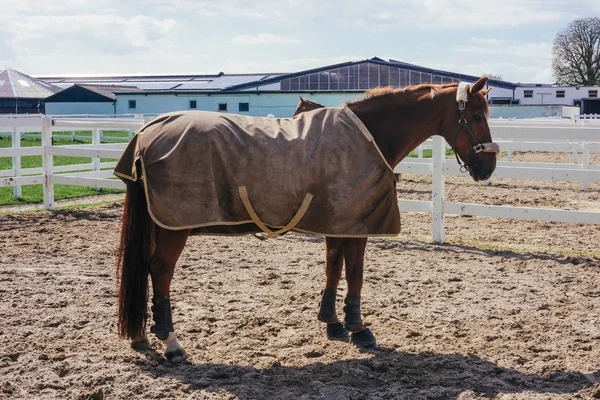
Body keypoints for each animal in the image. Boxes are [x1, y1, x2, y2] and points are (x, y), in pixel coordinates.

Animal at [115, 76, 500, 360]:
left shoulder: (336, 223)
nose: (487, 166)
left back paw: (142, 335)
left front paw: (332, 322)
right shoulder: (356, 226)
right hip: (173, 227)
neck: (369, 135)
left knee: (146, 268)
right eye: (476, 116)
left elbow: (333, 268)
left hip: (159, 224)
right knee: (160, 270)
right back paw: (171, 342)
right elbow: (355, 273)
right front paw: (359, 328)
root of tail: (146, 132)